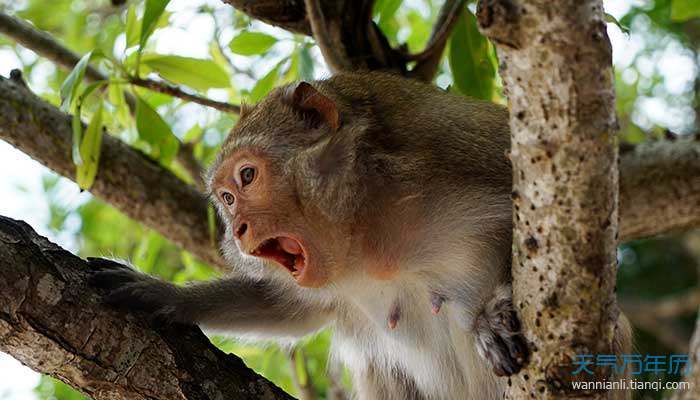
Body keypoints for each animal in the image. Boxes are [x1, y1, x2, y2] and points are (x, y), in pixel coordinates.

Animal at [90, 70, 632, 398]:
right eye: (225, 199)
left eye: (247, 177)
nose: (239, 231)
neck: (369, 232)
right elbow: (292, 310)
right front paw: (165, 296)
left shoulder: (466, 154)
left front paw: (494, 315)